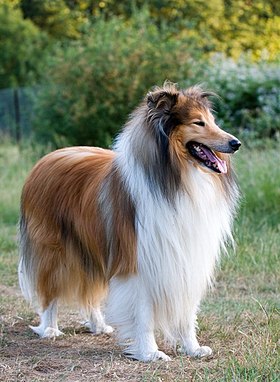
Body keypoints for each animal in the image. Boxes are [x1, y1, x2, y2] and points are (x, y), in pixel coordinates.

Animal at [18, 83, 241, 362]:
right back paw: (49, 329)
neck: (177, 180)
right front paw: (149, 352)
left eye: (213, 121)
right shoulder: (138, 261)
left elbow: (186, 312)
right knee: (50, 292)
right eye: (198, 122)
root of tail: (45, 159)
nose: (236, 143)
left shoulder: (186, 257)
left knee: (89, 293)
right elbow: (142, 314)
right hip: (55, 252)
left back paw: (99, 325)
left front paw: (192, 348)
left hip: (93, 248)